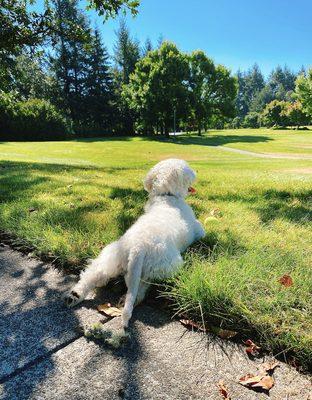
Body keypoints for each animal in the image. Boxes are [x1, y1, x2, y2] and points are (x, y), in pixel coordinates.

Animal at [64, 158, 205, 332]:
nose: (196, 173)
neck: (167, 197)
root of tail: (139, 247)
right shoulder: (198, 229)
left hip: (112, 256)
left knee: (94, 274)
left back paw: (75, 295)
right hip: (165, 266)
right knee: (142, 286)